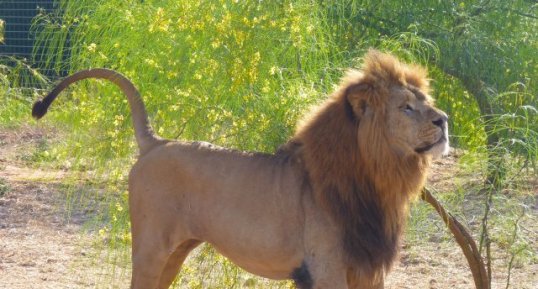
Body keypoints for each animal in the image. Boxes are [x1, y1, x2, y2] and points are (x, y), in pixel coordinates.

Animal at [31, 50, 446, 288]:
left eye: (427, 101)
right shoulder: (326, 270)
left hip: (176, 251)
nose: (444, 120)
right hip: (150, 247)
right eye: (406, 107)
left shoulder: (366, 272)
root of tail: (157, 141)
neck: (379, 179)